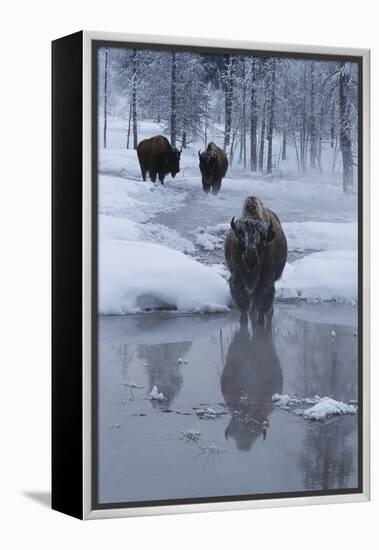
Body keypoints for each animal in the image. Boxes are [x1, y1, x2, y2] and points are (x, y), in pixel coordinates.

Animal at [224, 196, 286, 330]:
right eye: (241, 237)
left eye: (262, 240)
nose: (250, 258)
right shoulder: (237, 278)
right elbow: (243, 302)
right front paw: (243, 321)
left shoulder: (266, 279)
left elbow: (262, 301)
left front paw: (260, 322)